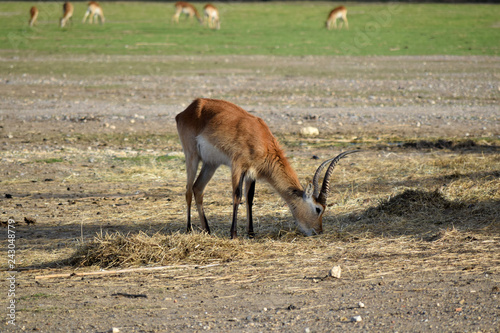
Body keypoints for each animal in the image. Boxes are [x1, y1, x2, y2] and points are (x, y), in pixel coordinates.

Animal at [176, 98, 360, 239]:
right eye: (318, 209)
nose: (318, 231)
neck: (261, 140)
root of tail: (189, 108)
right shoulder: (237, 166)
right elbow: (237, 196)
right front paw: (233, 234)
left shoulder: (252, 173)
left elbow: (249, 199)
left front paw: (251, 233)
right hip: (192, 156)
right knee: (188, 190)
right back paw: (189, 229)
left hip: (210, 164)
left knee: (198, 188)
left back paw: (207, 230)